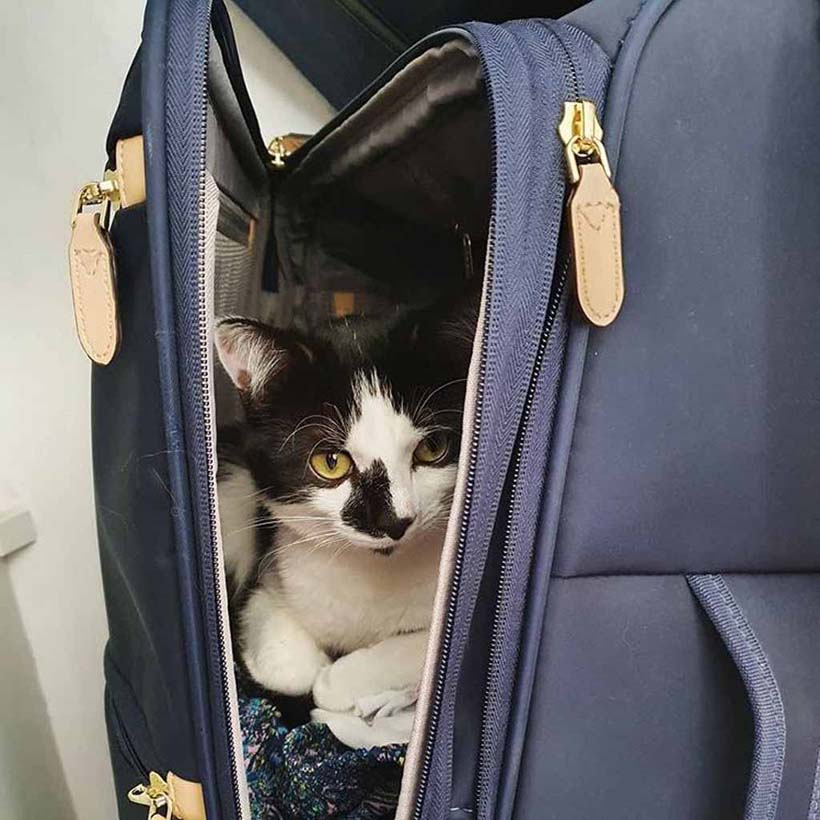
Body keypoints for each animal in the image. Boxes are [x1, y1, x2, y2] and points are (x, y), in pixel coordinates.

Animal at [215, 298, 474, 716]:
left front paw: (338, 680)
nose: (394, 520)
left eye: (432, 448)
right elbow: (290, 666)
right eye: (331, 462)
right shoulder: (268, 579)